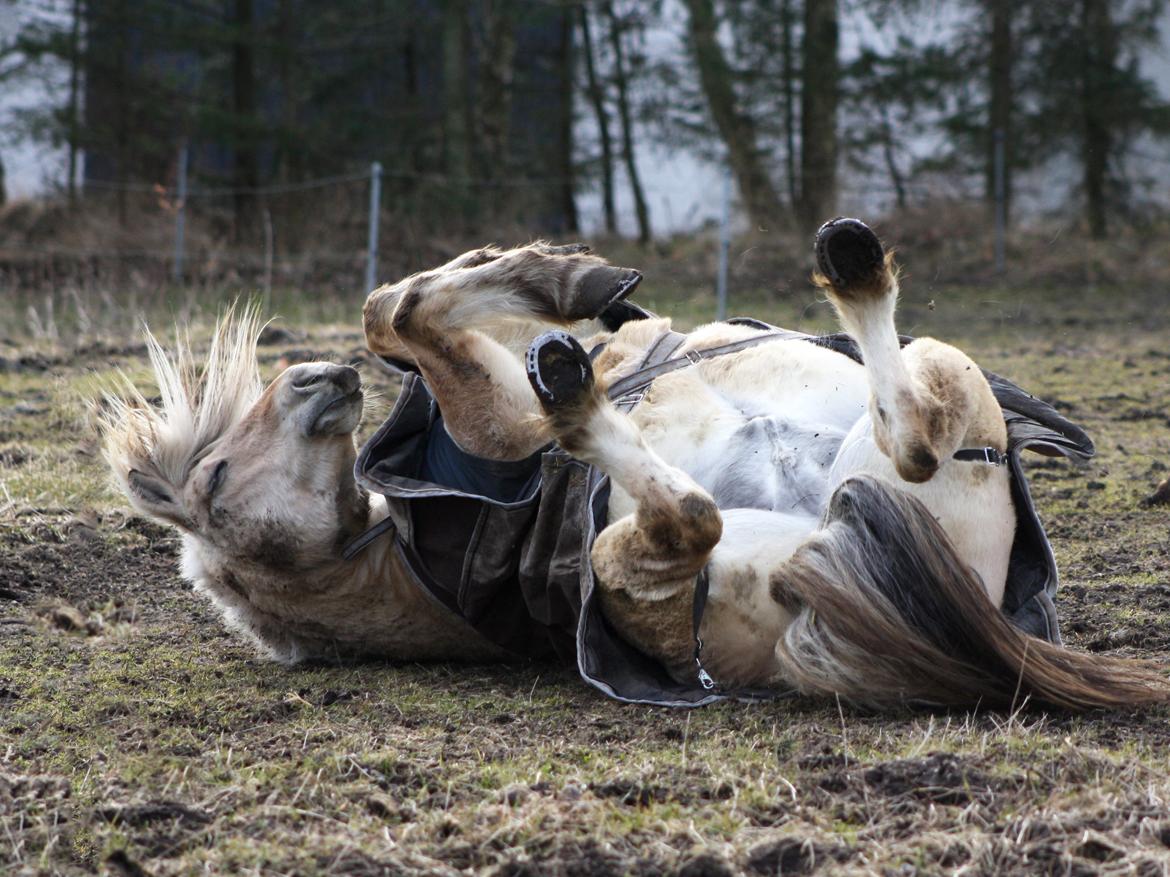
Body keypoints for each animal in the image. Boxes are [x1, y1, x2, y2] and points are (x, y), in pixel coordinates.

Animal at [102, 219, 1170, 715]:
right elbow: (398, 311)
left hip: (932, 395)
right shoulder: (499, 430)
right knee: (703, 510)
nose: (308, 380)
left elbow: (397, 312)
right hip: (638, 555)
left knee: (909, 415)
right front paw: (570, 288)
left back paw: (845, 268)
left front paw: (561, 282)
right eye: (213, 479)